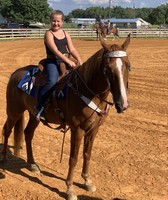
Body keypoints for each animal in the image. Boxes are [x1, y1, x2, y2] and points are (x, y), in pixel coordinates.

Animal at [1, 34, 131, 200]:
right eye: (108, 69)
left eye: (128, 66)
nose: (123, 103)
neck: (88, 90)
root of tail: (15, 73)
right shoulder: (77, 129)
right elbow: (73, 158)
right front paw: (70, 189)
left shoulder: (94, 130)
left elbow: (87, 154)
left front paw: (87, 181)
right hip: (14, 111)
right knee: (7, 130)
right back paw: (4, 159)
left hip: (33, 115)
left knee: (28, 133)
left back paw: (32, 164)